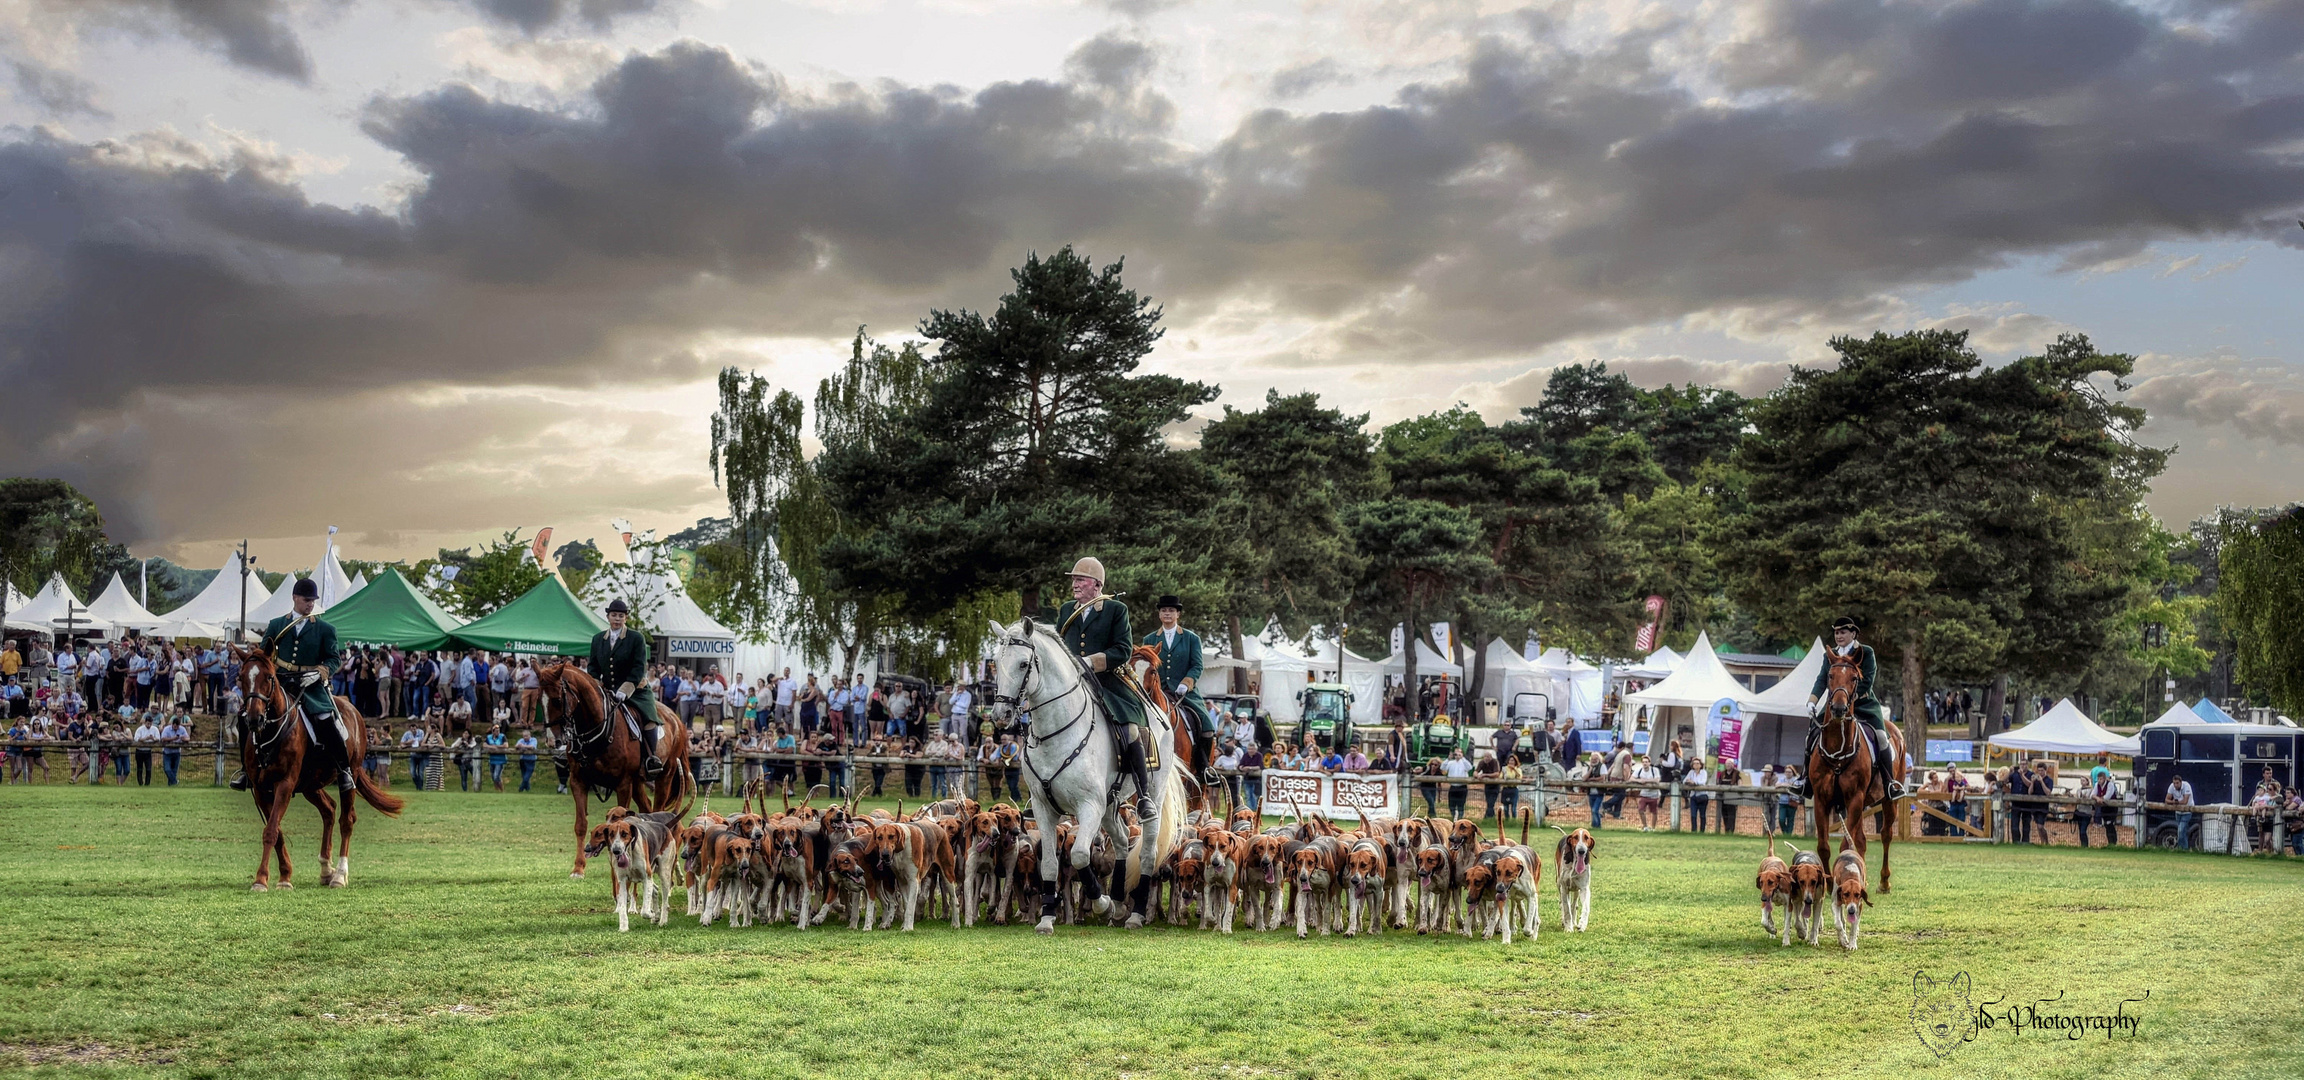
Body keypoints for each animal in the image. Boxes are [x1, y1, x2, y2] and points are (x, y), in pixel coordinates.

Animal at [231, 644, 403, 888]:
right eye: (242, 677)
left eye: (269, 677)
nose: (254, 718)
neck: (271, 732)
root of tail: (352, 709)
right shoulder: (260, 789)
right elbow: (276, 831)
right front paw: (284, 875)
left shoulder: (285, 784)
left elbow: (271, 830)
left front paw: (263, 880)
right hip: (310, 785)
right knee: (329, 810)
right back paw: (325, 869)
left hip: (347, 776)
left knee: (346, 820)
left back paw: (339, 874)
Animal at [539, 658, 691, 875]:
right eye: (539, 700)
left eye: (557, 700)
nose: (553, 740)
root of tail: (676, 719)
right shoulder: (578, 781)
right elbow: (581, 824)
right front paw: (578, 868)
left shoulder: (623, 784)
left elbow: (622, 823)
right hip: (638, 784)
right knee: (646, 810)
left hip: (665, 776)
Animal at [986, 612, 1188, 934]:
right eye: (996, 662)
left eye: (1023, 664)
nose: (1000, 716)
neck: (1056, 732)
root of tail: (1161, 714)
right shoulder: (1044, 808)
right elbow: (1050, 863)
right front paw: (1047, 917)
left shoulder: (1089, 806)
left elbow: (1080, 854)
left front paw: (1100, 903)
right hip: (1109, 804)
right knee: (1121, 840)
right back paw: (1118, 903)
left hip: (1150, 797)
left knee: (1147, 852)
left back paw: (1134, 913)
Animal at [1797, 649, 1907, 893]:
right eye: (1830, 675)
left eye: (1855, 678)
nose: (1838, 709)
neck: (1837, 748)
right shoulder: (1822, 799)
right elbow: (1824, 846)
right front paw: (1829, 883)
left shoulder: (1854, 798)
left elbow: (1845, 845)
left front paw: (1840, 879)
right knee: (1862, 840)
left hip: (1887, 801)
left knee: (1885, 835)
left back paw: (1884, 881)